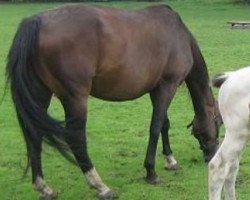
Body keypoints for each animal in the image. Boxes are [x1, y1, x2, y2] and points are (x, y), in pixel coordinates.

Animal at [6, 3, 221, 199]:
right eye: (219, 122)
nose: (211, 156)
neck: (178, 34)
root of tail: (36, 21)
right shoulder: (168, 85)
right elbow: (155, 126)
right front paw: (151, 171)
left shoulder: (156, 89)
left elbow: (164, 124)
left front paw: (170, 160)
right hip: (75, 98)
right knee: (75, 137)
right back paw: (100, 186)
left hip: (40, 94)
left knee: (34, 135)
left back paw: (44, 188)